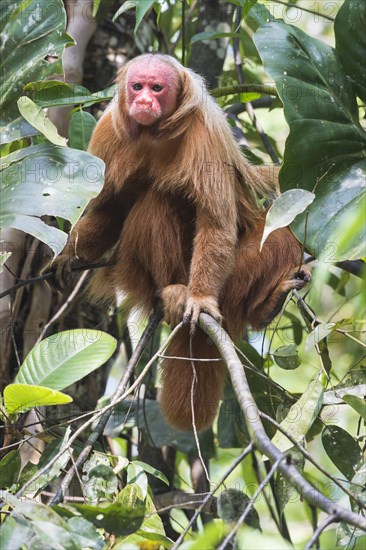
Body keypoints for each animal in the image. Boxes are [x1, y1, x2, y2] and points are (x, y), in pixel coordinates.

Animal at [50, 55, 308, 436]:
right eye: (137, 86)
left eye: (157, 88)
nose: (144, 101)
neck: (153, 133)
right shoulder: (108, 131)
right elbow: (108, 210)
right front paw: (69, 255)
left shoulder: (206, 133)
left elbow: (217, 223)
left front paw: (199, 299)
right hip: (137, 274)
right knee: (157, 202)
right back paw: (173, 292)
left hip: (230, 279)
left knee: (279, 232)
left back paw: (261, 307)